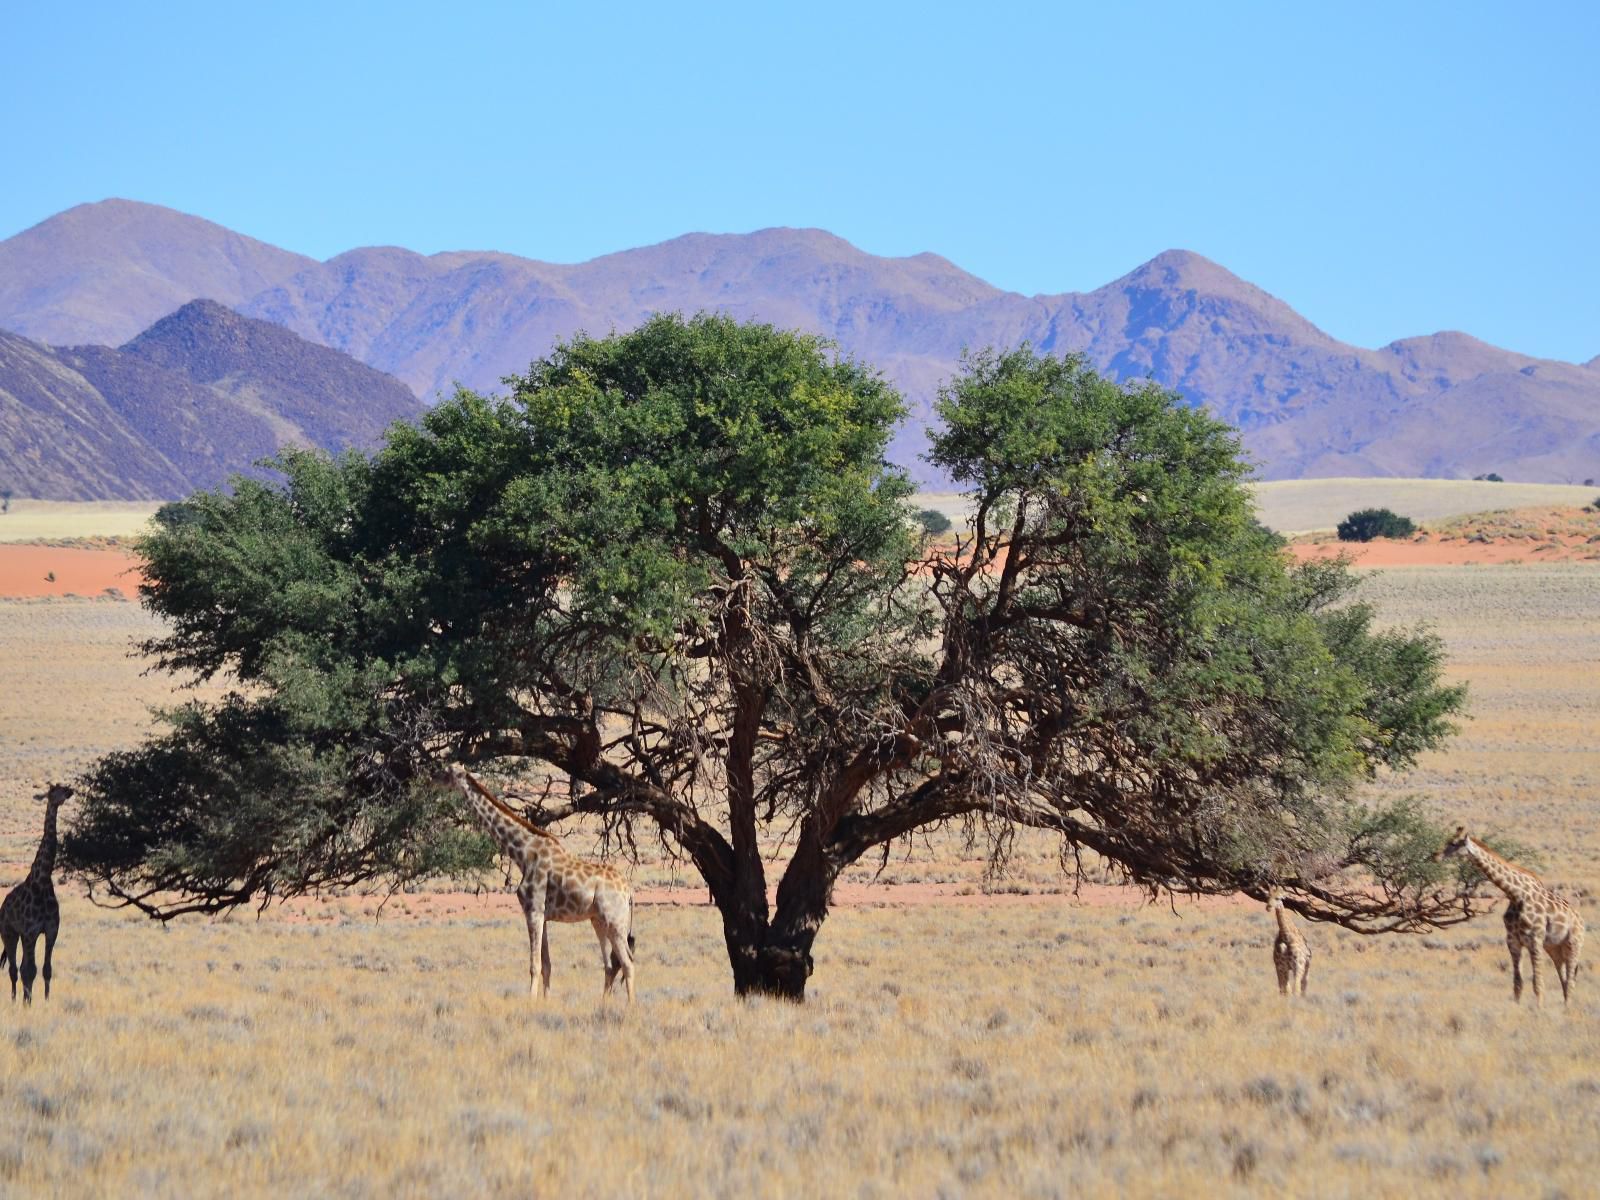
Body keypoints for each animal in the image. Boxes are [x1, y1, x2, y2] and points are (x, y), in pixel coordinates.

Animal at [0, 784, 74, 1011]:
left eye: (64, 787)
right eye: (53, 791)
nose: (70, 791)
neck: (42, 882)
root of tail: (3, 905)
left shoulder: (50, 931)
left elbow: (45, 969)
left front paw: (45, 1000)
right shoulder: (31, 932)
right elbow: (29, 971)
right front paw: (28, 1004)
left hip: (22, 936)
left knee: (22, 967)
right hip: (9, 933)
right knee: (14, 969)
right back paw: (15, 999)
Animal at [441, 764, 640, 998]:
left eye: (446, 772)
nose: (431, 780)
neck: (523, 854)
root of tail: (629, 891)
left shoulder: (533, 910)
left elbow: (534, 965)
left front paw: (530, 1002)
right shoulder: (542, 915)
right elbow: (546, 965)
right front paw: (544, 1001)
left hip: (614, 920)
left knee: (627, 962)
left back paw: (630, 1005)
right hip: (598, 920)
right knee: (610, 963)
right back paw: (603, 1003)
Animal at [1440, 825, 1587, 1011]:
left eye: (1453, 843)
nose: (1435, 856)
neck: (1516, 894)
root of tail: (1581, 920)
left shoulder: (1534, 941)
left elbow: (1537, 982)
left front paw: (1538, 1009)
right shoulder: (1513, 941)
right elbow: (1518, 982)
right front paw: (1517, 1007)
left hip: (1573, 943)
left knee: (1571, 978)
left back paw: (1568, 1008)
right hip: (1554, 948)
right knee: (1565, 978)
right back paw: (1565, 1006)